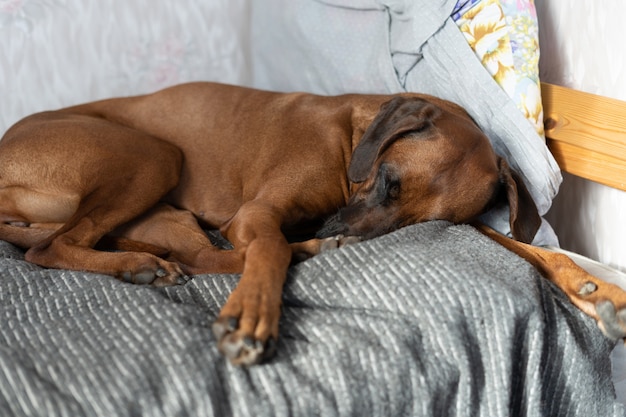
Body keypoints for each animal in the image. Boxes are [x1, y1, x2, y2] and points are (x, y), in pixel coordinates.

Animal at [1, 82, 624, 364]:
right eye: (388, 181)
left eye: (418, 223)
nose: (339, 231)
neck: (351, 142)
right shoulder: (259, 213)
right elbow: (269, 248)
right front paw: (252, 316)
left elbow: (526, 247)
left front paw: (593, 289)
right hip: (153, 155)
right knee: (51, 249)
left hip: (164, 206)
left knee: (195, 254)